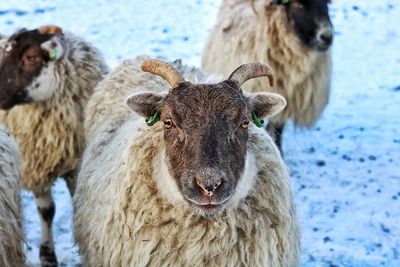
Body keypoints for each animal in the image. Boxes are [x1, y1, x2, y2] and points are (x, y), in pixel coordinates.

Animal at [0, 25, 108, 267]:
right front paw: (47, 255)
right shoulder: (35, 164)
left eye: (31, 57)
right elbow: (46, 210)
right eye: (5, 52)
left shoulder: (75, 165)